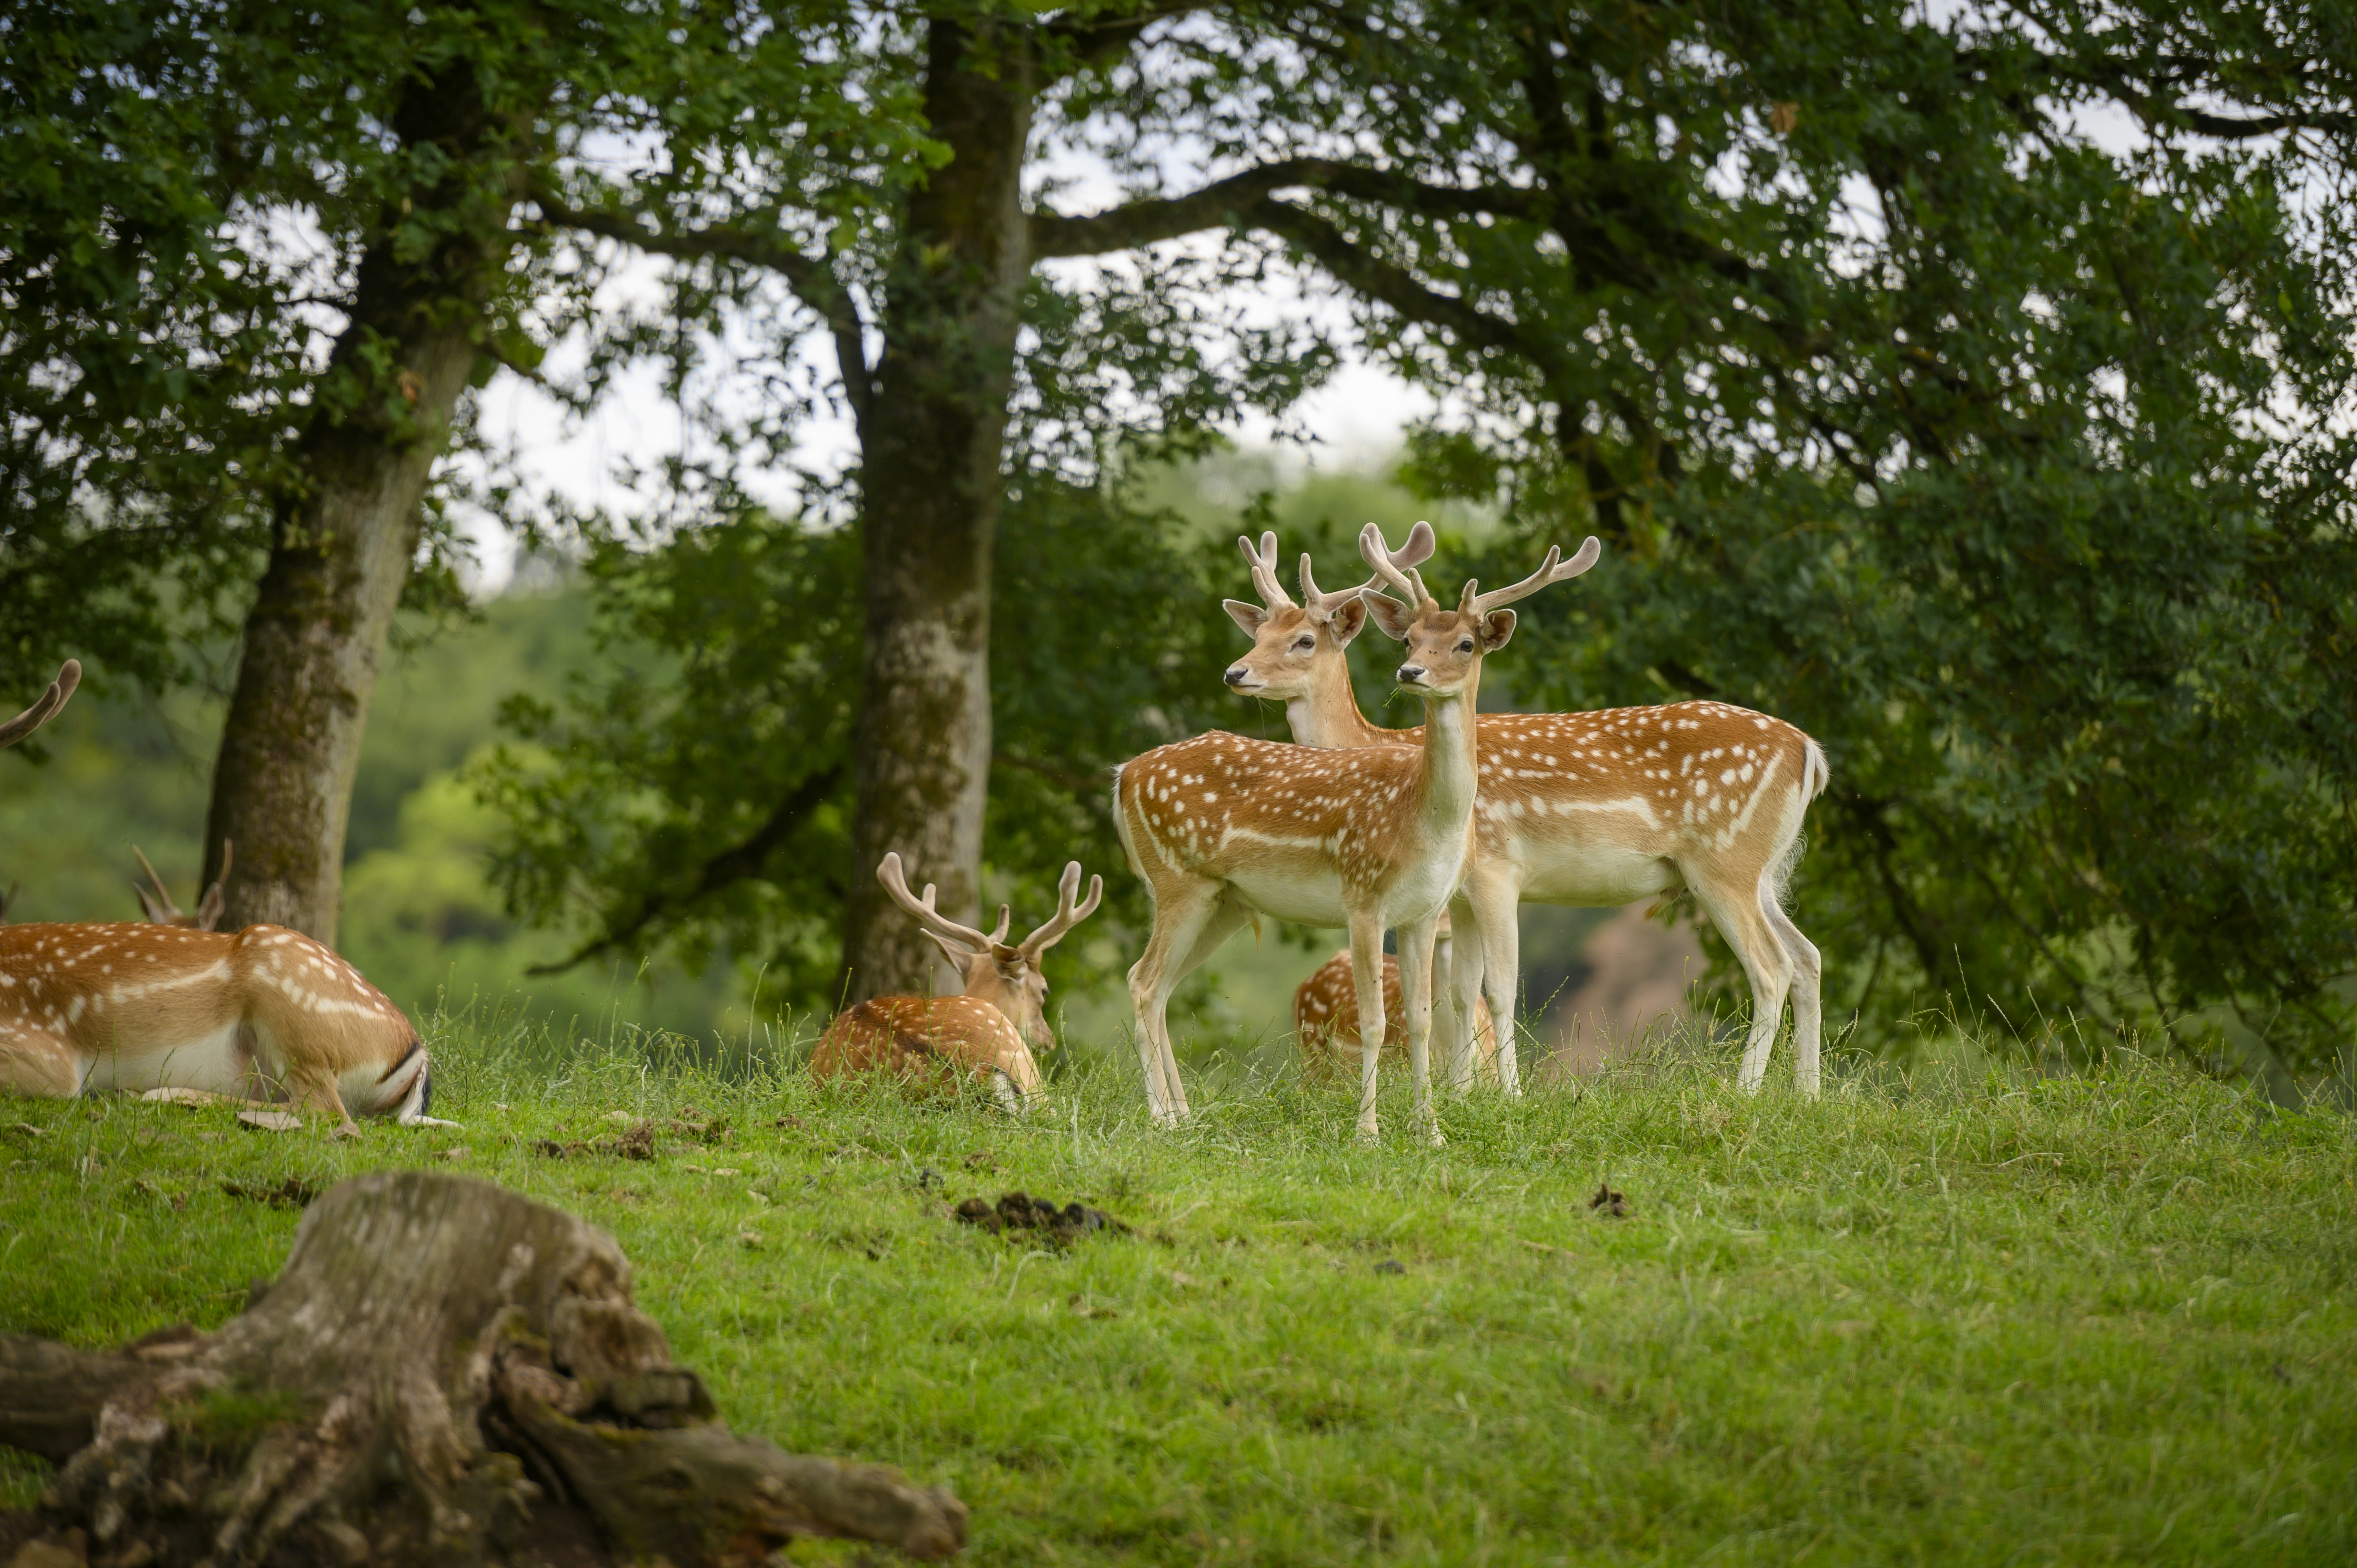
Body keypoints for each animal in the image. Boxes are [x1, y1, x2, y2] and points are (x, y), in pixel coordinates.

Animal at [1117, 525, 1598, 1141]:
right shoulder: (1372, 901)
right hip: (1185, 884)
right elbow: (1389, 1018)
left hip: (1221, 900)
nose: (1235, 673)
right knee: (1145, 983)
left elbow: (1430, 1016)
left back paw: (1180, 1115)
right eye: (1409, 640)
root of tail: (1124, 774)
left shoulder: (1432, 908)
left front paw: (1435, 1126)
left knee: (1157, 986)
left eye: (1466, 644)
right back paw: (1166, 1118)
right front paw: (1376, 1129)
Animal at [1221, 525, 1831, 1098]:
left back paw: (1748, 1092)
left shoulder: (1496, 869)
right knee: (1807, 957)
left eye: (1304, 640)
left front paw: (1507, 1096)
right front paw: (1463, 1094)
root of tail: (1811, 751)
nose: (1235, 673)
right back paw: (1807, 1094)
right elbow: (1461, 992)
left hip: (1724, 861)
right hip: (1763, 870)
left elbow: (1496, 989)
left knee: (1771, 968)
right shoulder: (1457, 895)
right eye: (1258, 634)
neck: (1382, 748)